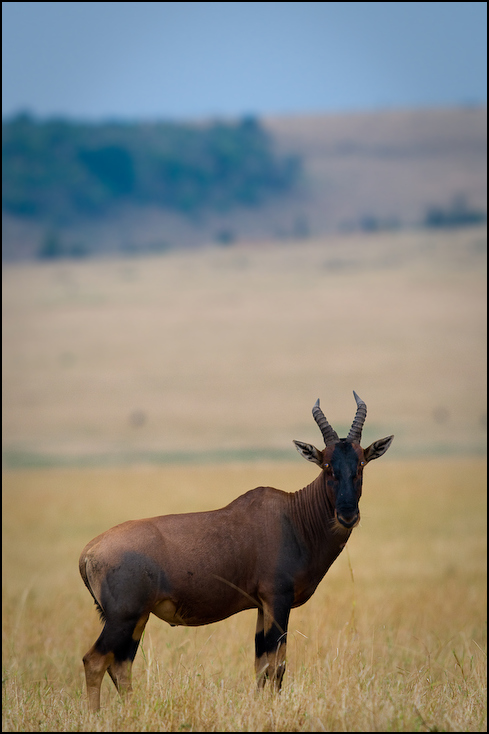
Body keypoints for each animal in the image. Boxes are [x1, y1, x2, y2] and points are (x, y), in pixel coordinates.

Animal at [80, 394, 392, 712]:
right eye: (327, 465)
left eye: (361, 463)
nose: (347, 515)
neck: (293, 516)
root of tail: (89, 552)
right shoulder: (278, 600)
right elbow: (277, 664)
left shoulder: (261, 605)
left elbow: (261, 663)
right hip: (123, 617)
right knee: (95, 660)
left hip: (138, 618)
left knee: (120, 665)